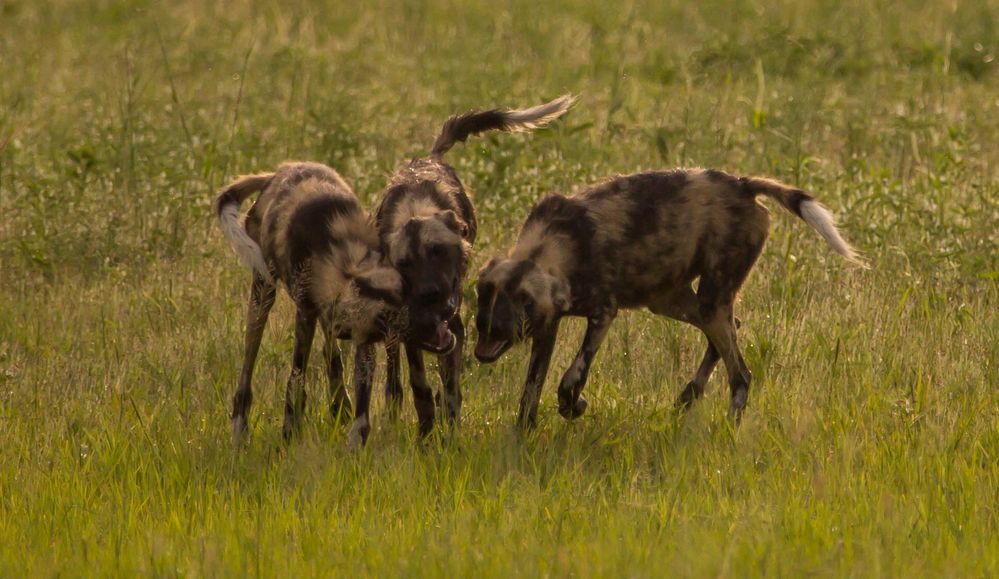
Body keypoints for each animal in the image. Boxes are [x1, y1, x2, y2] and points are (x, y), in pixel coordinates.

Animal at [216, 162, 406, 448]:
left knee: (331, 354)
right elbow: (295, 380)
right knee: (247, 368)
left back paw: (340, 407)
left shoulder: (358, 333)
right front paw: (289, 435)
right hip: (263, 291)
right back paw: (240, 431)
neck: (344, 260)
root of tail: (279, 172)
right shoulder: (307, 313)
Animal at [374, 93, 580, 436]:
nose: (431, 294)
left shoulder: (453, 326)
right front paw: (427, 432)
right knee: (395, 374)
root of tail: (430, 157)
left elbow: (451, 390)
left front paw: (448, 431)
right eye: (405, 263)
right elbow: (420, 387)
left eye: (438, 251)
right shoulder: (414, 329)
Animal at [472, 170, 864, 428]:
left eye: (506, 319)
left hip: (708, 301)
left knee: (741, 375)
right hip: (674, 301)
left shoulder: (602, 314)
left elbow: (570, 379)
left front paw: (575, 406)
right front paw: (522, 438)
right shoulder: (547, 326)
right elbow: (530, 391)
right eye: (482, 315)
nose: (481, 348)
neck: (556, 247)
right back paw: (689, 395)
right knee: (730, 331)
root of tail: (741, 184)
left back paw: (729, 430)